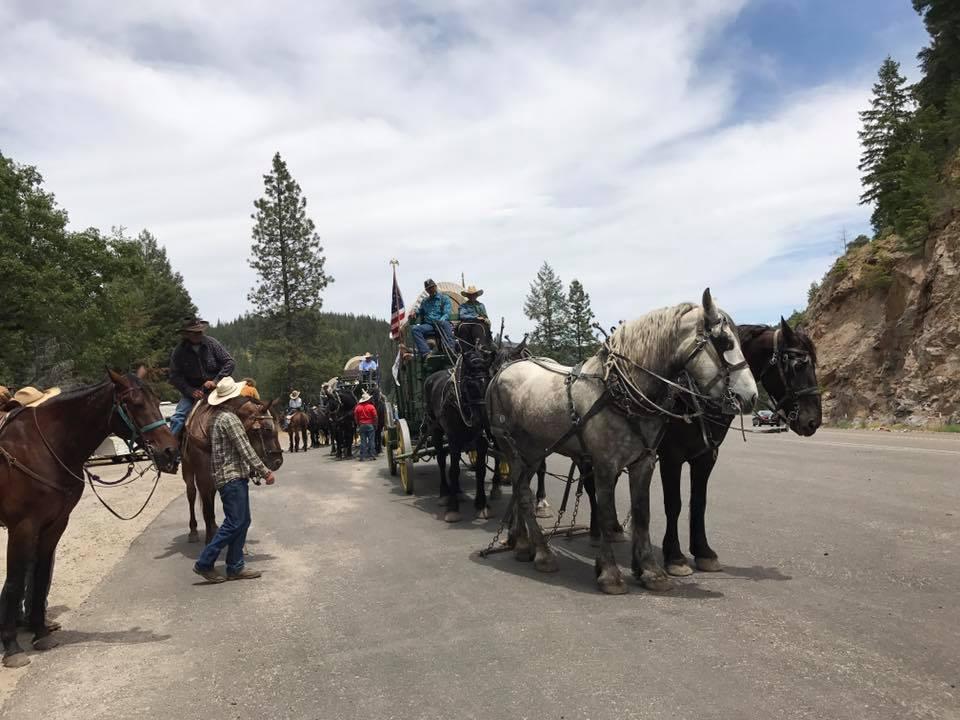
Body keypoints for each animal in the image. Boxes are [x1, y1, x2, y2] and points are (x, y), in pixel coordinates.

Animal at [0, 372, 179, 668]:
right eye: (135, 404)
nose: (170, 452)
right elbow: (14, 581)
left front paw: (40, 633)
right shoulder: (23, 527)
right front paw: (12, 647)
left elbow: (40, 575)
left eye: (156, 400)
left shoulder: (56, 523)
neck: (42, 447)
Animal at [181, 396, 282, 544]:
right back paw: (193, 530)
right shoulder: (202, 479)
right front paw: (209, 539)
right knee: (191, 494)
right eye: (267, 429)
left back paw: (214, 526)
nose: (278, 461)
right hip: (187, 470)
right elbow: (206, 510)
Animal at [488, 290, 756, 592]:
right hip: (513, 448)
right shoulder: (605, 464)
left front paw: (650, 571)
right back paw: (543, 554)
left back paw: (524, 545)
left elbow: (642, 513)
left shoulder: (644, 462)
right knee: (523, 495)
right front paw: (610, 573)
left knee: (521, 490)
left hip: (533, 452)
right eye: (725, 342)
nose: (750, 396)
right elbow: (605, 513)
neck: (620, 391)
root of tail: (504, 371)